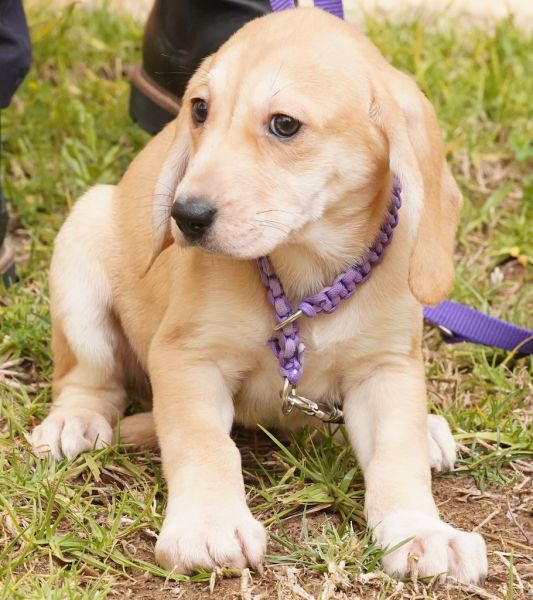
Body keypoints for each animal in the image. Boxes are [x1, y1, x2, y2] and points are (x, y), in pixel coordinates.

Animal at [30, 7, 488, 582]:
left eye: (284, 124)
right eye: (200, 109)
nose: (185, 217)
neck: (306, 273)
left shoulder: (386, 369)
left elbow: (396, 457)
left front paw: (421, 530)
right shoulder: (187, 356)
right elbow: (205, 444)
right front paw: (208, 524)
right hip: (82, 246)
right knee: (89, 377)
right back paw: (76, 418)